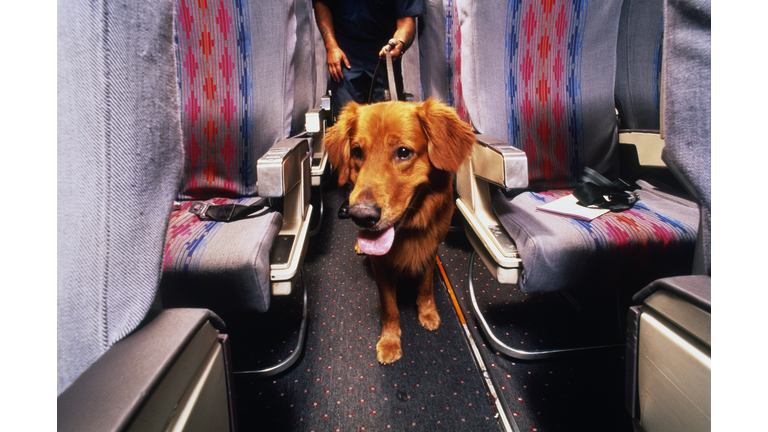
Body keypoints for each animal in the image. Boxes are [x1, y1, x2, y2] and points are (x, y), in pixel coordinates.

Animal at [322, 98, 474, 364]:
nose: (361, 216)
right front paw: (390, 341)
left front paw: (427, 313)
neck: (408, 230)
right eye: (357, 152)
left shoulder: (430, 250)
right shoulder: (379, 265)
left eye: (403, 152)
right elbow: (390, 307)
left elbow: (425, 286)